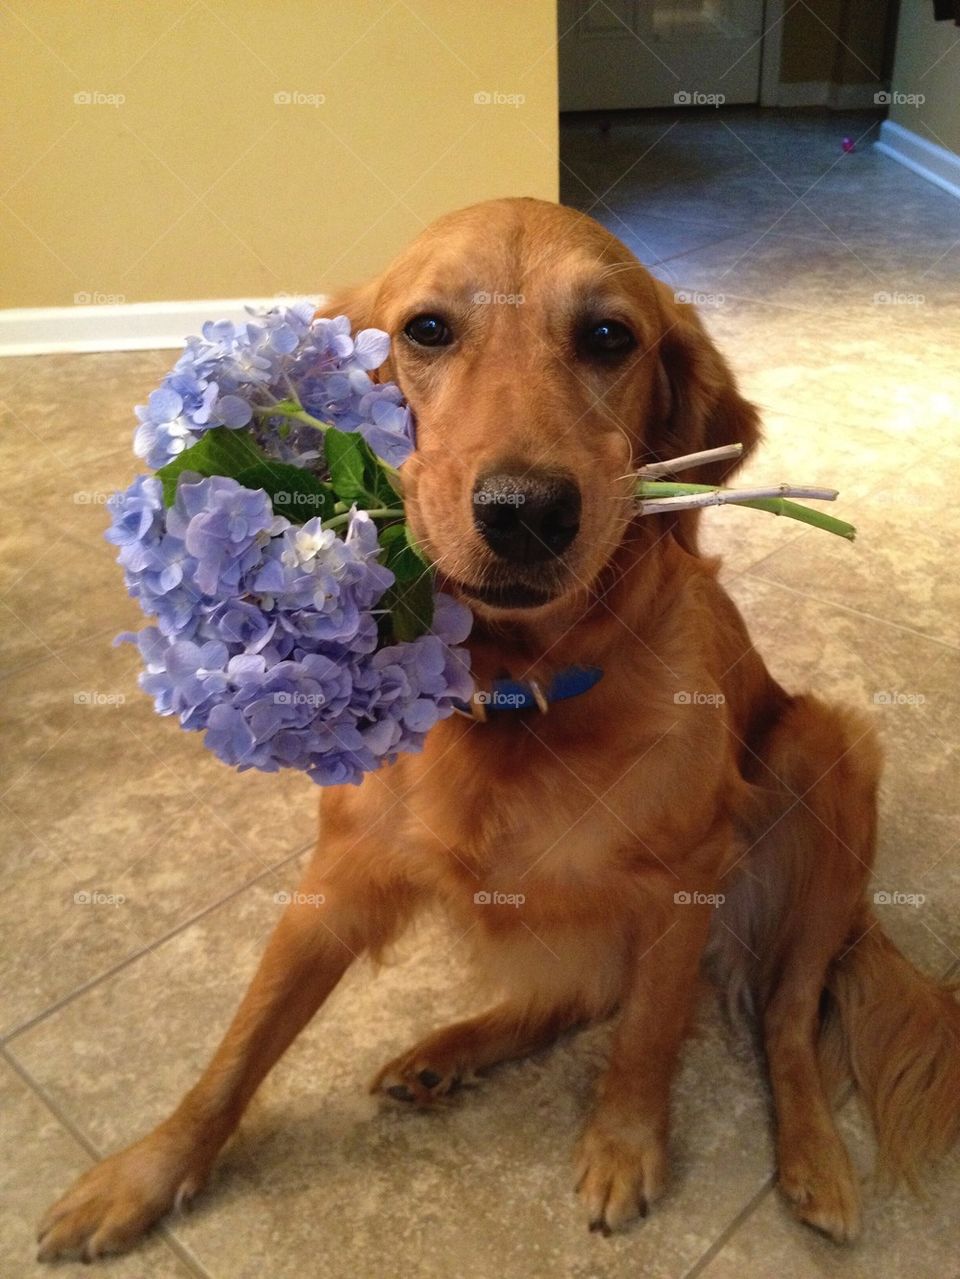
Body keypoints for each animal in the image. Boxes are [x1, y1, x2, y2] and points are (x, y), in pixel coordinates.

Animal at [37, 196, 960, 1258]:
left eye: (609, 336)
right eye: (428, 329)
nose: (526, 511)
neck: (517, 691)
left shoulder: (684, 877)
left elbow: (649, 1035)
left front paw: (624, 1142)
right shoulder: (339, 875)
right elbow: (241, 1041)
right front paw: (144, 1172)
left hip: (829, 760)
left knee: (786, 1015)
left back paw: (815, 1159)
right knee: (577, 995)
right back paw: (450, 1048)